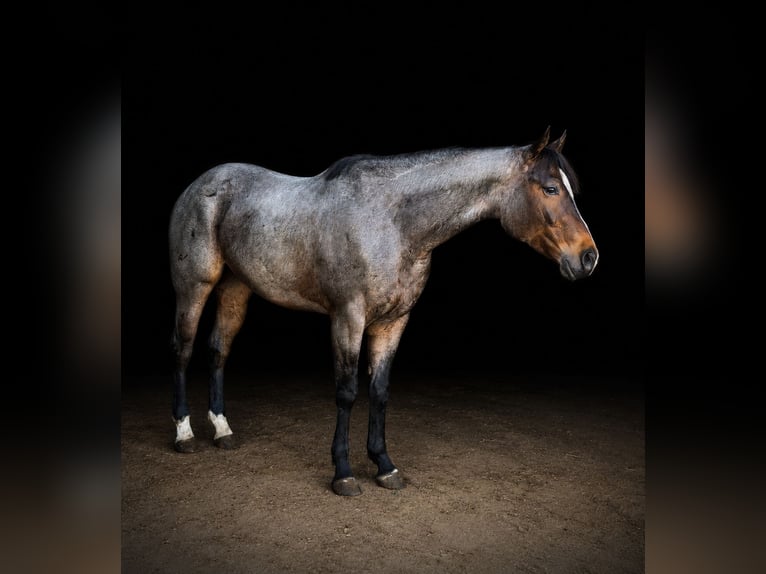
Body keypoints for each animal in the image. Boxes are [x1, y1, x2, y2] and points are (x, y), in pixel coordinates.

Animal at [168, 127, 598, 496]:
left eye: (569, 188)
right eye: (550, 188)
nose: (588, 258)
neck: (392, 222)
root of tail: (199, 185)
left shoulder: (394, 322)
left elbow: (379, 389)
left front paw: (384, 465)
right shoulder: (348, 318)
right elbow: (346, 392)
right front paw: (343, 474)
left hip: (236, 288)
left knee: (218, 350)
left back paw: (223, 431)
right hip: (194, 287)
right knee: (183, 350)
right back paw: (184, 434)